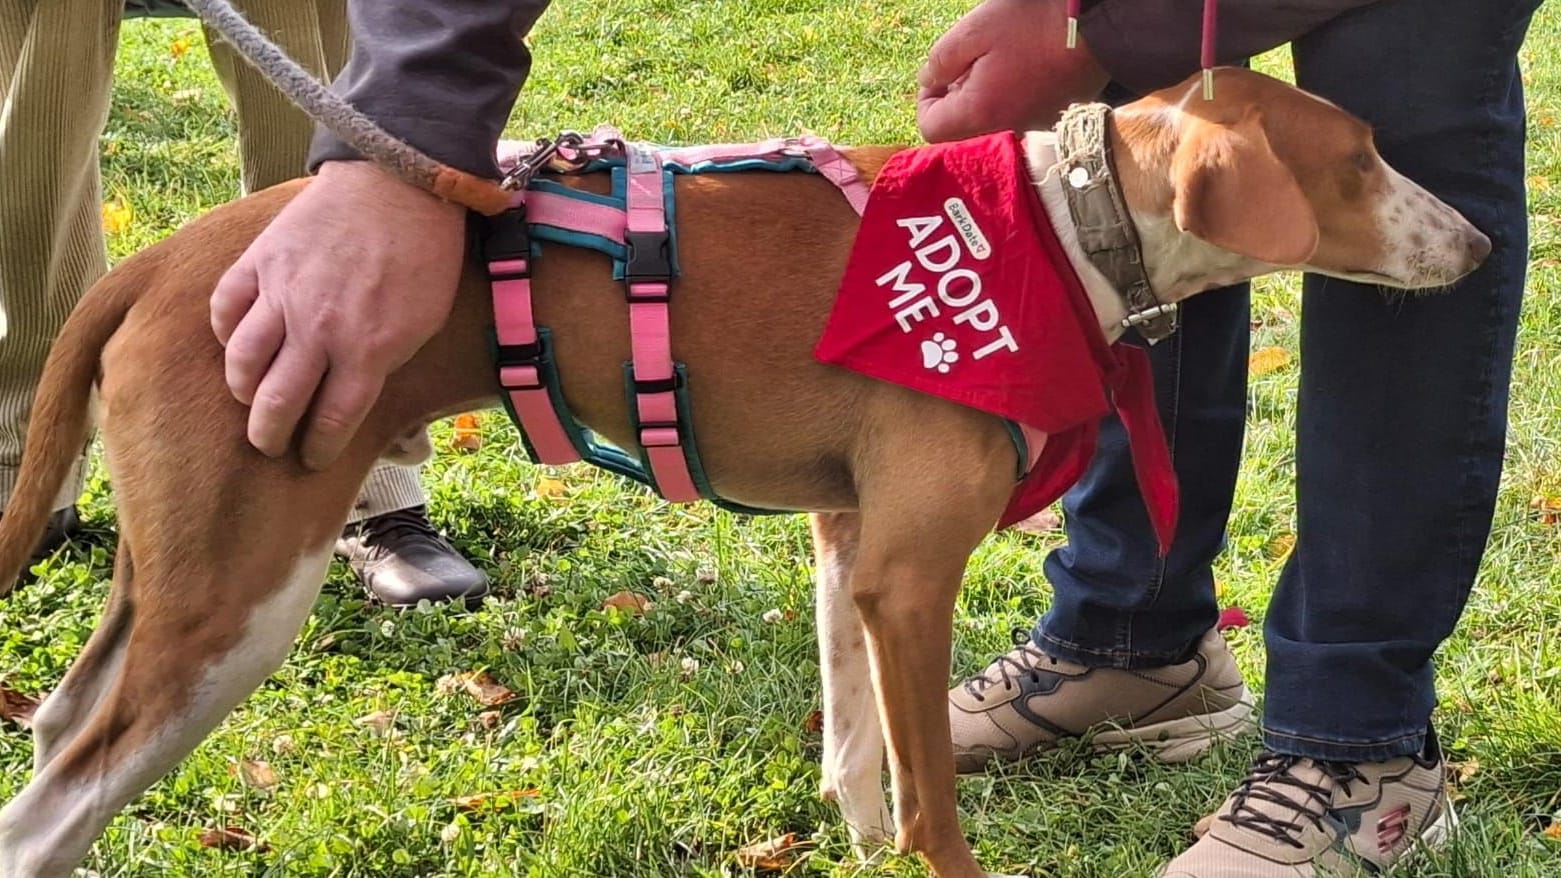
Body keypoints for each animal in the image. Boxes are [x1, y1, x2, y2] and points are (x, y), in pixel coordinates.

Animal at [0, 69, 1486, 874]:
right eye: (1359, 160)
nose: (1479, 246)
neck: (1058, 227)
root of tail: (158, 259)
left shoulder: (848, 546)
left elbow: (858, 759)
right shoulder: (909, 573)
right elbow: (929, 803)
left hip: (178, 581)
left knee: (56, 736)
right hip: (241, 595)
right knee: (45, 807)